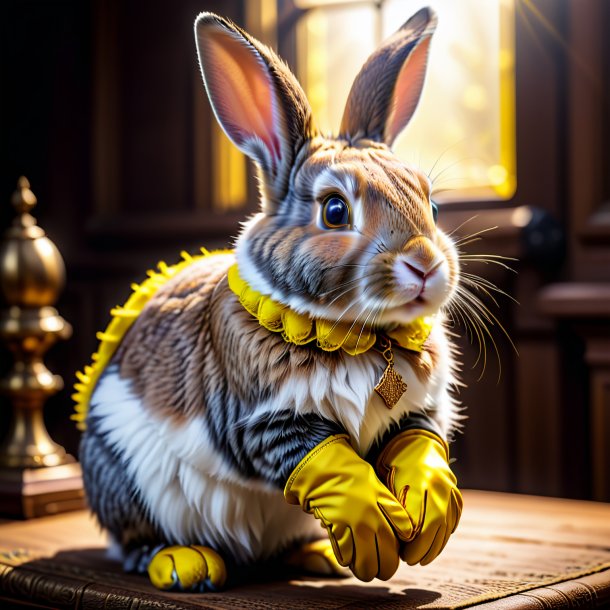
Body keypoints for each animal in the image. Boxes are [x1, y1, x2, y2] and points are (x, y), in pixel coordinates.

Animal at [78, 7, 464, 592]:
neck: (359, 337)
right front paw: (367, 520)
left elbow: (419, 448)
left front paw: (430, 507)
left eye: (433, 206)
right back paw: (185, 563)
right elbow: (332, 465)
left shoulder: (418, 411)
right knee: (133, 542)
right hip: (123, 480)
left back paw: (318, 558)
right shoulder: (264, 421)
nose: (425, 265)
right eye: (334, 211)